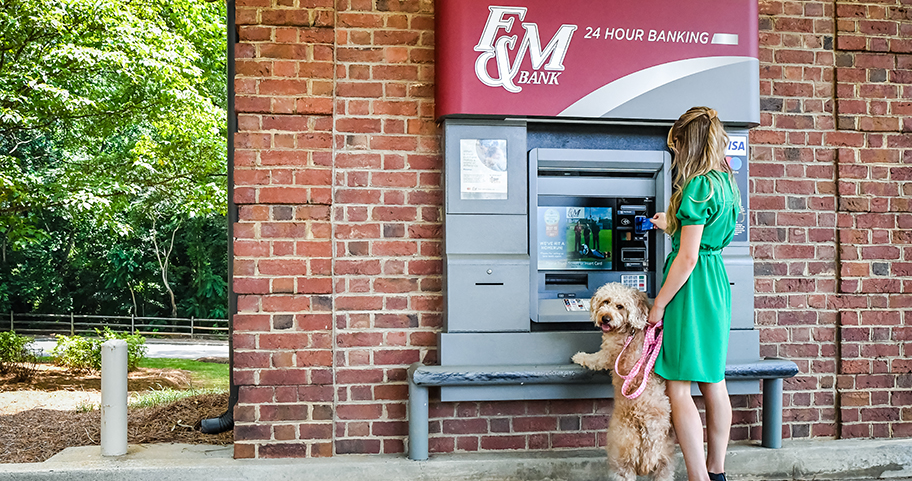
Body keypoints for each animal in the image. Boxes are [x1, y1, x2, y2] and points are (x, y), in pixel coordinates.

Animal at [572, 284, 672, 478]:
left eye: (620, 306)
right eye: (606, 301)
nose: (606, 317)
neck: (630, 331)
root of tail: (648, 434)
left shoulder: (607, 354)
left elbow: (594, 359)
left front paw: (580, 356)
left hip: (621, 459)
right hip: (664, 465)